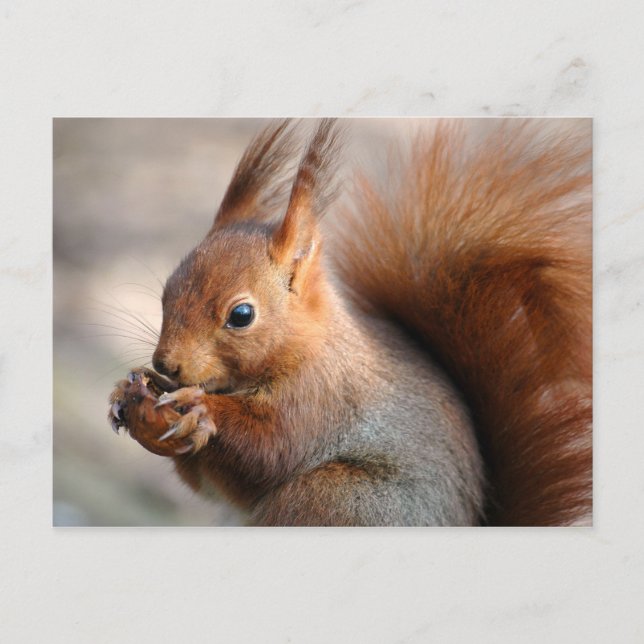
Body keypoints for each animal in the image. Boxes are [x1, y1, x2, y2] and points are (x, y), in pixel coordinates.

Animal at [108, 119, 592, 526]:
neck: (306, 346)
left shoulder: (320, 400)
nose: (166, 364)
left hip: (337, 498)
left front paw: (200, 409)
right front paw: (126, 391)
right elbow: (207, 482)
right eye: (167, 289)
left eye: (241, 315)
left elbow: (268, 450)